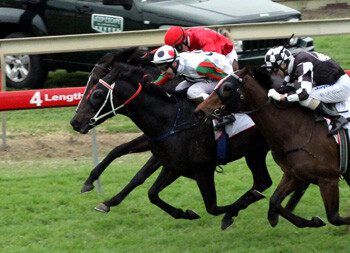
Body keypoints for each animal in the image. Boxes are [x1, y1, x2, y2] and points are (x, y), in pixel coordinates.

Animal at [72, 48, 304, 230]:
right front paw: (102, 195)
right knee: (265, 180)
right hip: (255, 151)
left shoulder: (202, 169)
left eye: (97, 92)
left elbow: (212, 207)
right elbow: (144, 183)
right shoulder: (168, 161)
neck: (172, 118)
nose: (75, 122)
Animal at [196, 67, 350, 227]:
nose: (199, 111)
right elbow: (274, 201)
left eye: (227, 88)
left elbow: (334, 217)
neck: (299, 129)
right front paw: (311, 221)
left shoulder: (328, 179)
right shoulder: (293, 174)